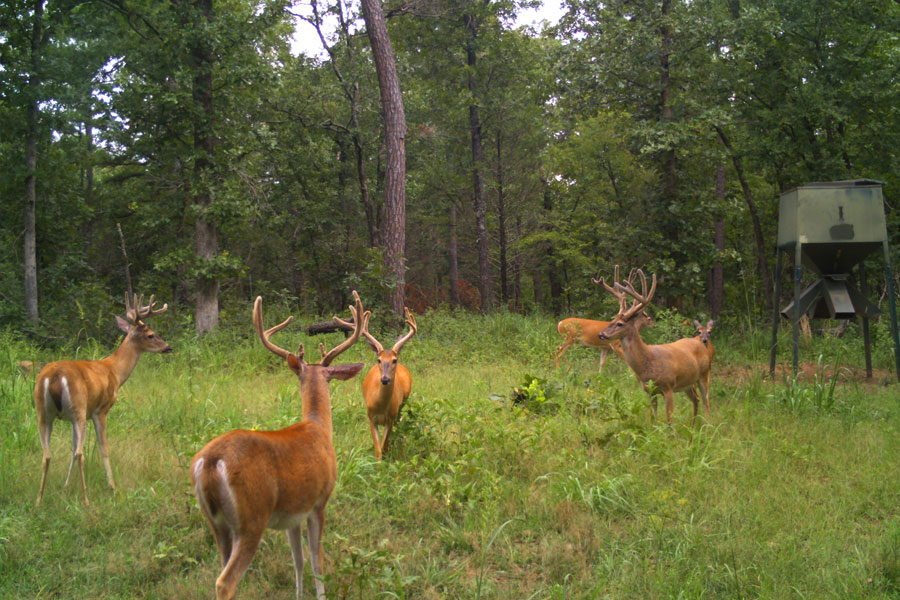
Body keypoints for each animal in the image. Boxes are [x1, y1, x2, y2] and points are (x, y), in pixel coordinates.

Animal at [33, 292, 172, 504]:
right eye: (151, 334)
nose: (168, 347)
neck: (114, 371)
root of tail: (55, 376)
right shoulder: (101, 410)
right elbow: (103, 448)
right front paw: (112, 486)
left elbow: (71, 449)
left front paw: (66, 487)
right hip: (78, 408)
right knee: (80, 453)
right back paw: (85, 499)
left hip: (43, 412)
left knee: (47, 454)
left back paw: (39, 500)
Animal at [191, 292, 366, 600]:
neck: (318, 428)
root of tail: (210, 462)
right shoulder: (319, 501)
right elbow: (317, 560)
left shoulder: (291, 516)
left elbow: (298, 561)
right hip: (251, 518)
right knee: (225, 581)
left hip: (216, 523)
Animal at [342, 304, 418, 460]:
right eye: (379, 360)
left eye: (394, 360)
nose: (385, 379)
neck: (381, 406)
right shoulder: (371, 417)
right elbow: (378, 450)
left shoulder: (391, 418)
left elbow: (384, 446)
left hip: (404, 403)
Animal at [596, 268, 712, 426]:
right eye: (612, 319)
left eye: (620, 324)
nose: (601, 334)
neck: (648, 361)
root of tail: (701, 342)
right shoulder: (649, 391)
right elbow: (653, 419)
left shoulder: (668, 386)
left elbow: (669, 420)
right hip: (688, 383)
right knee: (696, 399)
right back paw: (693, 426)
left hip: (704, 375)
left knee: (706, 401)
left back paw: (706, 427)